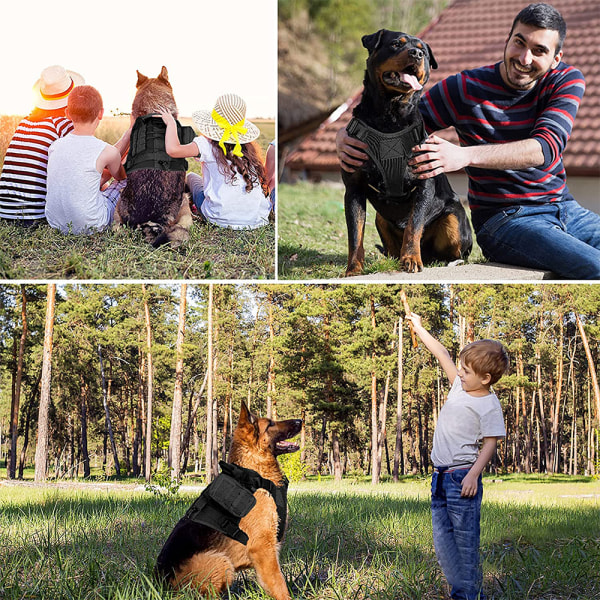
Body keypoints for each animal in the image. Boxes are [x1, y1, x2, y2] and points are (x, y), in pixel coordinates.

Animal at [157, 404, 302, 600]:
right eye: (270, 424)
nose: (300, 421)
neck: (254, 474)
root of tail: (162, 584)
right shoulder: (263, 548)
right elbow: (278, 583)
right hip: (221, 562)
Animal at [342, 31, 474, 276]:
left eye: (424, 51)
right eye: (395, 44)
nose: (417, 54)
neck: (390, 116)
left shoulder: (424, 183)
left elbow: (414, 225)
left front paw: (411, 259)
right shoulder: (354, 189)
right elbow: (356, 234)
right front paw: (353, 269)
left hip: (454, 218)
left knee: (454, 252)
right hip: (381, 219)